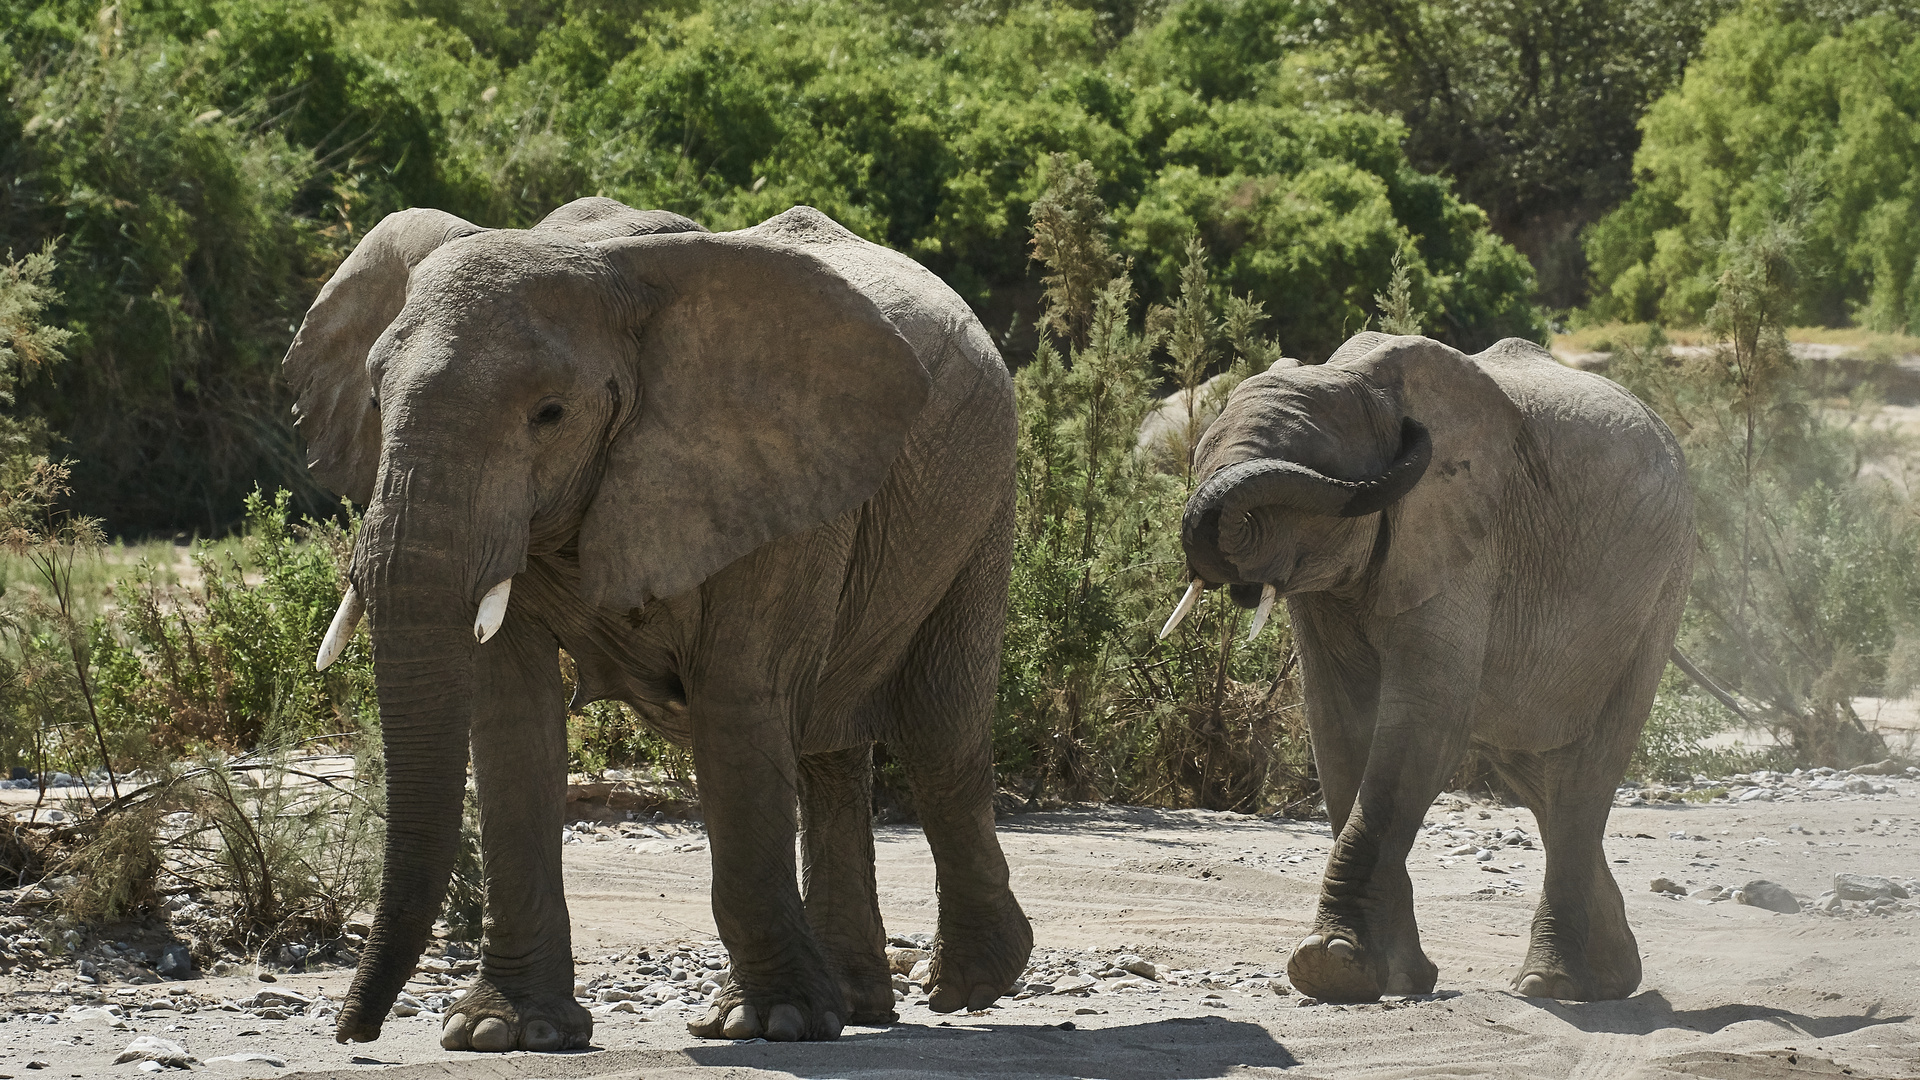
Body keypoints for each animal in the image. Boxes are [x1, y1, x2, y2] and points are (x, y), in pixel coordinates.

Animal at [280, 197, 1036, 1045]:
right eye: (376, 401)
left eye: (550, 414)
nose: (353, 1033)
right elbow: (512, 718)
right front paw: (503, 1033)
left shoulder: (770, 474)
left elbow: (738, 699)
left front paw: (769, 1022)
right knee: (828, 748)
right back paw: (860, 1003)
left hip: (982, 489)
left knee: (939, 732)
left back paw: (968, 986)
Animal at [1159, 330, 1689, 999]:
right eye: (1200, 457)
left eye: (1313, 483)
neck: (1361, 381)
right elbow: (1339, 728)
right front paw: (1392, 978)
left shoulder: (1462, 542)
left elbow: (1419, 725)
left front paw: (1330, 967)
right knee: (1539, 771)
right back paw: (1613, 977)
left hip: (1660, 592)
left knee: (1582, 775)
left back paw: (1551, 985)